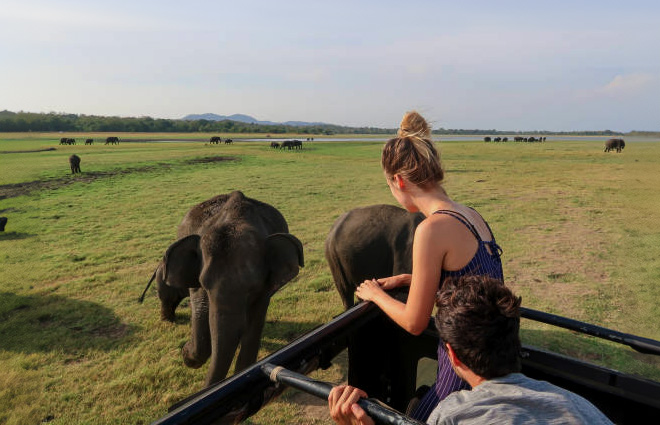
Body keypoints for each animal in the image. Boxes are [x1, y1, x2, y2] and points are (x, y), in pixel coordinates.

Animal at [146, 191, 302, 384]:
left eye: (252, 288)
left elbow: (253, 329)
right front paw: (187, 352)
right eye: (204, 284)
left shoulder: (265, 289)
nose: (183, 348)